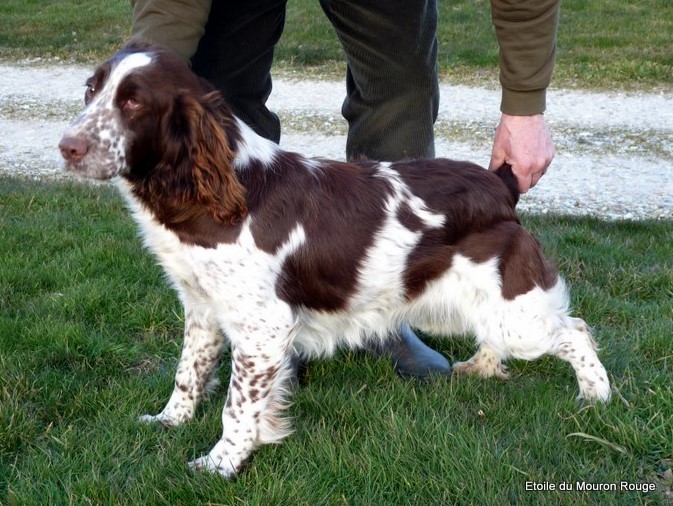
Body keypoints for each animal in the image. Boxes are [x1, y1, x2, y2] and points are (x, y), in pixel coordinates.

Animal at [59, 43, 608, 478]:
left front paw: (220, 464)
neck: (219, 190)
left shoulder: (263, 326)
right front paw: (169, 422)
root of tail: (501, 183)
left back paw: (597, 397)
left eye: (133, 101)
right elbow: (188, 373)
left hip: (517, 313)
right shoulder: (203, 308)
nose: (67, 147)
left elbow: (236, 407)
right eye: (91, 90)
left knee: (575, 331)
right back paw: (482, 367)